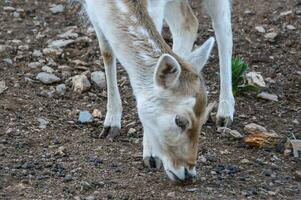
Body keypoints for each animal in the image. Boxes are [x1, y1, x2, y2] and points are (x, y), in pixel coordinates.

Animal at [77, 0, 232, 183]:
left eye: (202, 121)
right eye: (180, 121)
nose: (188, 172)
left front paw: (151, 156)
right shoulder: (91, 7)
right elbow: (107, 52)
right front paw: (111, 124)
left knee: (223, 25)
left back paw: (225, 113)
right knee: (188, 22)